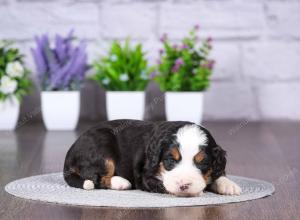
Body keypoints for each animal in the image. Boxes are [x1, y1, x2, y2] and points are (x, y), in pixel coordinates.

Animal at [63, 119, 241, 197]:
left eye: (202, 163)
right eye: (170, 160)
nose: (184, 185)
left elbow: (217, 174)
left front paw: (228, 185)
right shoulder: (145, 175)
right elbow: (163, 185)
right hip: (103, 147)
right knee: (97, 178)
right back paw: (121, 182)